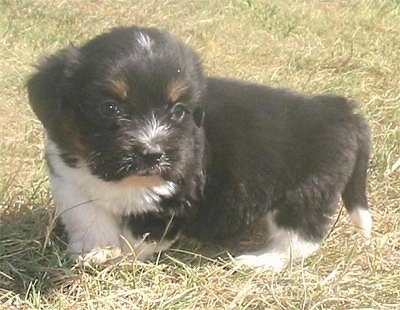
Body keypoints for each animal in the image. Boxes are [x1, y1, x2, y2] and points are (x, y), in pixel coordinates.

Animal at [27, 25, 372, 270]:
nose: (153, 154)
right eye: (110, 108)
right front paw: (95, 251)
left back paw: (259, 261)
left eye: (179, 111)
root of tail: (339, 110)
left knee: (300, 239)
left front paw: (121, 258)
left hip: (304, 194)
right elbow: (87, 216)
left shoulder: (170, 198)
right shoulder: (69, 178)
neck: (121, 179)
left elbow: (140, 236)